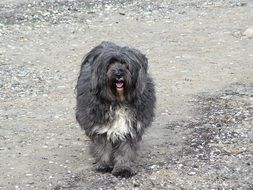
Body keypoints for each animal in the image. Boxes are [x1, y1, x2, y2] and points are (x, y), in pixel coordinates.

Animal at [75, 41, 155, 178]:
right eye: (110, 64)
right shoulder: (100, 127)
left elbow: (125, 150)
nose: (118, 73)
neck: (118, 101)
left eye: (126, 65)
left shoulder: (130, 128)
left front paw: (124, 168)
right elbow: (102, 147)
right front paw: (103, 165)